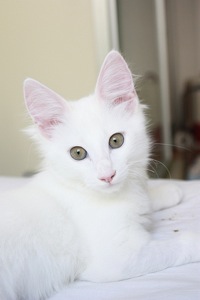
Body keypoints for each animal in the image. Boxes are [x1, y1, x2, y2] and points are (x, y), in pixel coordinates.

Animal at [0, 51, 200, 300]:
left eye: (116, 140)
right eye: (77, 153)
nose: (108, 176)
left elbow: (147, 199)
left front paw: (166, 191)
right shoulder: (116, 261)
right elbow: (176, 246)